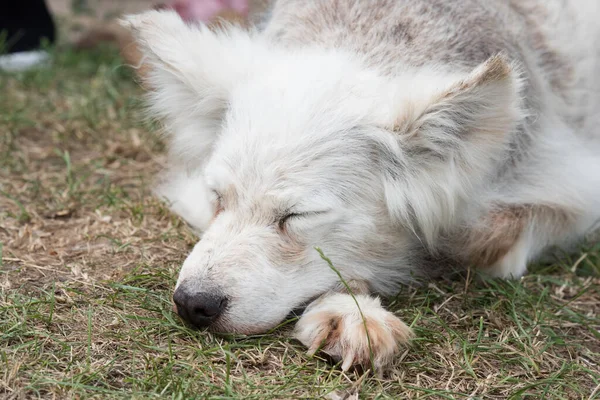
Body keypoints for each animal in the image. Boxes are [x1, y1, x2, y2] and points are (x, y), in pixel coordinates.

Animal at [122, 0, 600, 370]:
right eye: (217, 197)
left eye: (298, 216)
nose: (192, 304)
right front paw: (351, 310)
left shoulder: (571, 188)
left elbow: (484, 239)